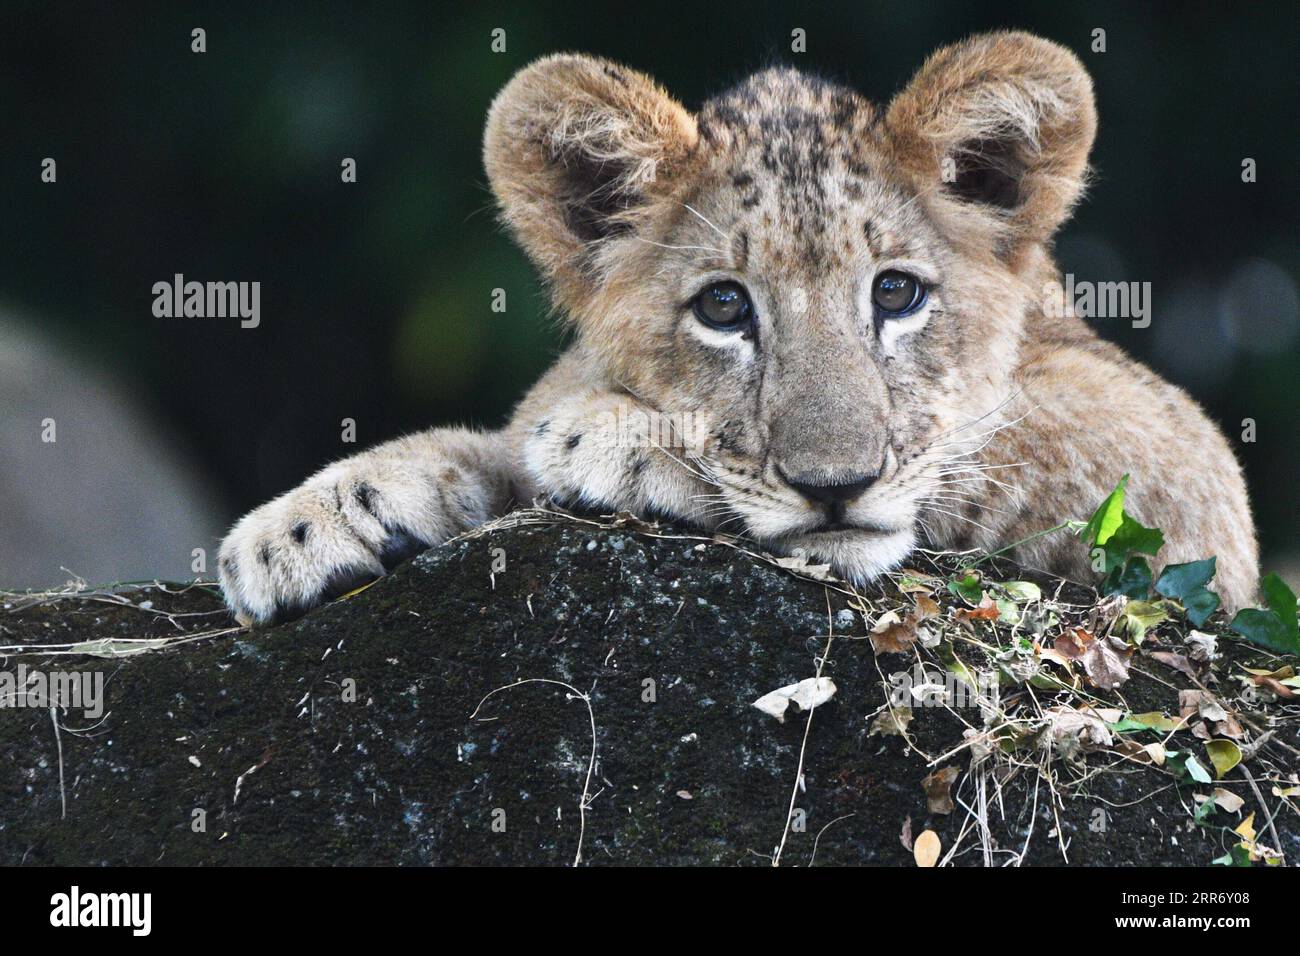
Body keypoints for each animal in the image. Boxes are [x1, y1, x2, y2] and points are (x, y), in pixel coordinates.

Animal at [218, 31, 1258, 625]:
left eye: (896, 295)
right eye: (724, 307)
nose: (835, 488)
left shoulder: (1188, 478)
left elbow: (998, 439)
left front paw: (619, 439)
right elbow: (481, 444)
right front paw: (293, 530)